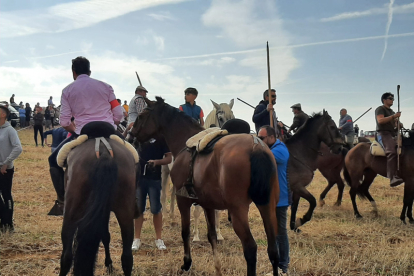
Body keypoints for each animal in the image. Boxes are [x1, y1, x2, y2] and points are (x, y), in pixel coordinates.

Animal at [59, 136, 136, 276]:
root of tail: (104, 153)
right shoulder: (104, 211)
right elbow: (105, 235)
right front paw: (109, 264)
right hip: (125, 213)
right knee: (127, 257)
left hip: (71, 212)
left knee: (66, 256)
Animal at [132, 96, 282, 274]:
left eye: (141, 115)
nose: (131, 134)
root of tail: (256, 146)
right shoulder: (208, 204)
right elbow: (211, 236)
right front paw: (217, 268)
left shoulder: (184, 201)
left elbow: (185, 232)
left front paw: (187, 263)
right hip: (267, 206)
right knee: (273, 249)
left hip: (239, 211)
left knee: (251, 248)